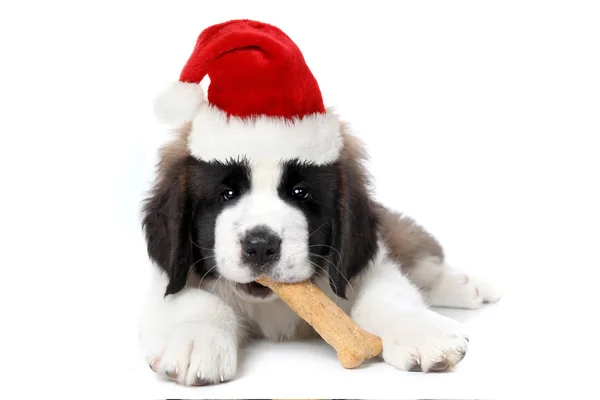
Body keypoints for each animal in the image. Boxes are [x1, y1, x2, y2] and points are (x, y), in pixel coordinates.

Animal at [137, 18, 502, 384]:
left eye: (301, 193)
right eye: (227, 194)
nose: (260, 245)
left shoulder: (363, 265)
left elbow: (385, 294)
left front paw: (421, 332)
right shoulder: (169, 279)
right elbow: (194, 300)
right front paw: (196, 339)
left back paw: (471, 287)